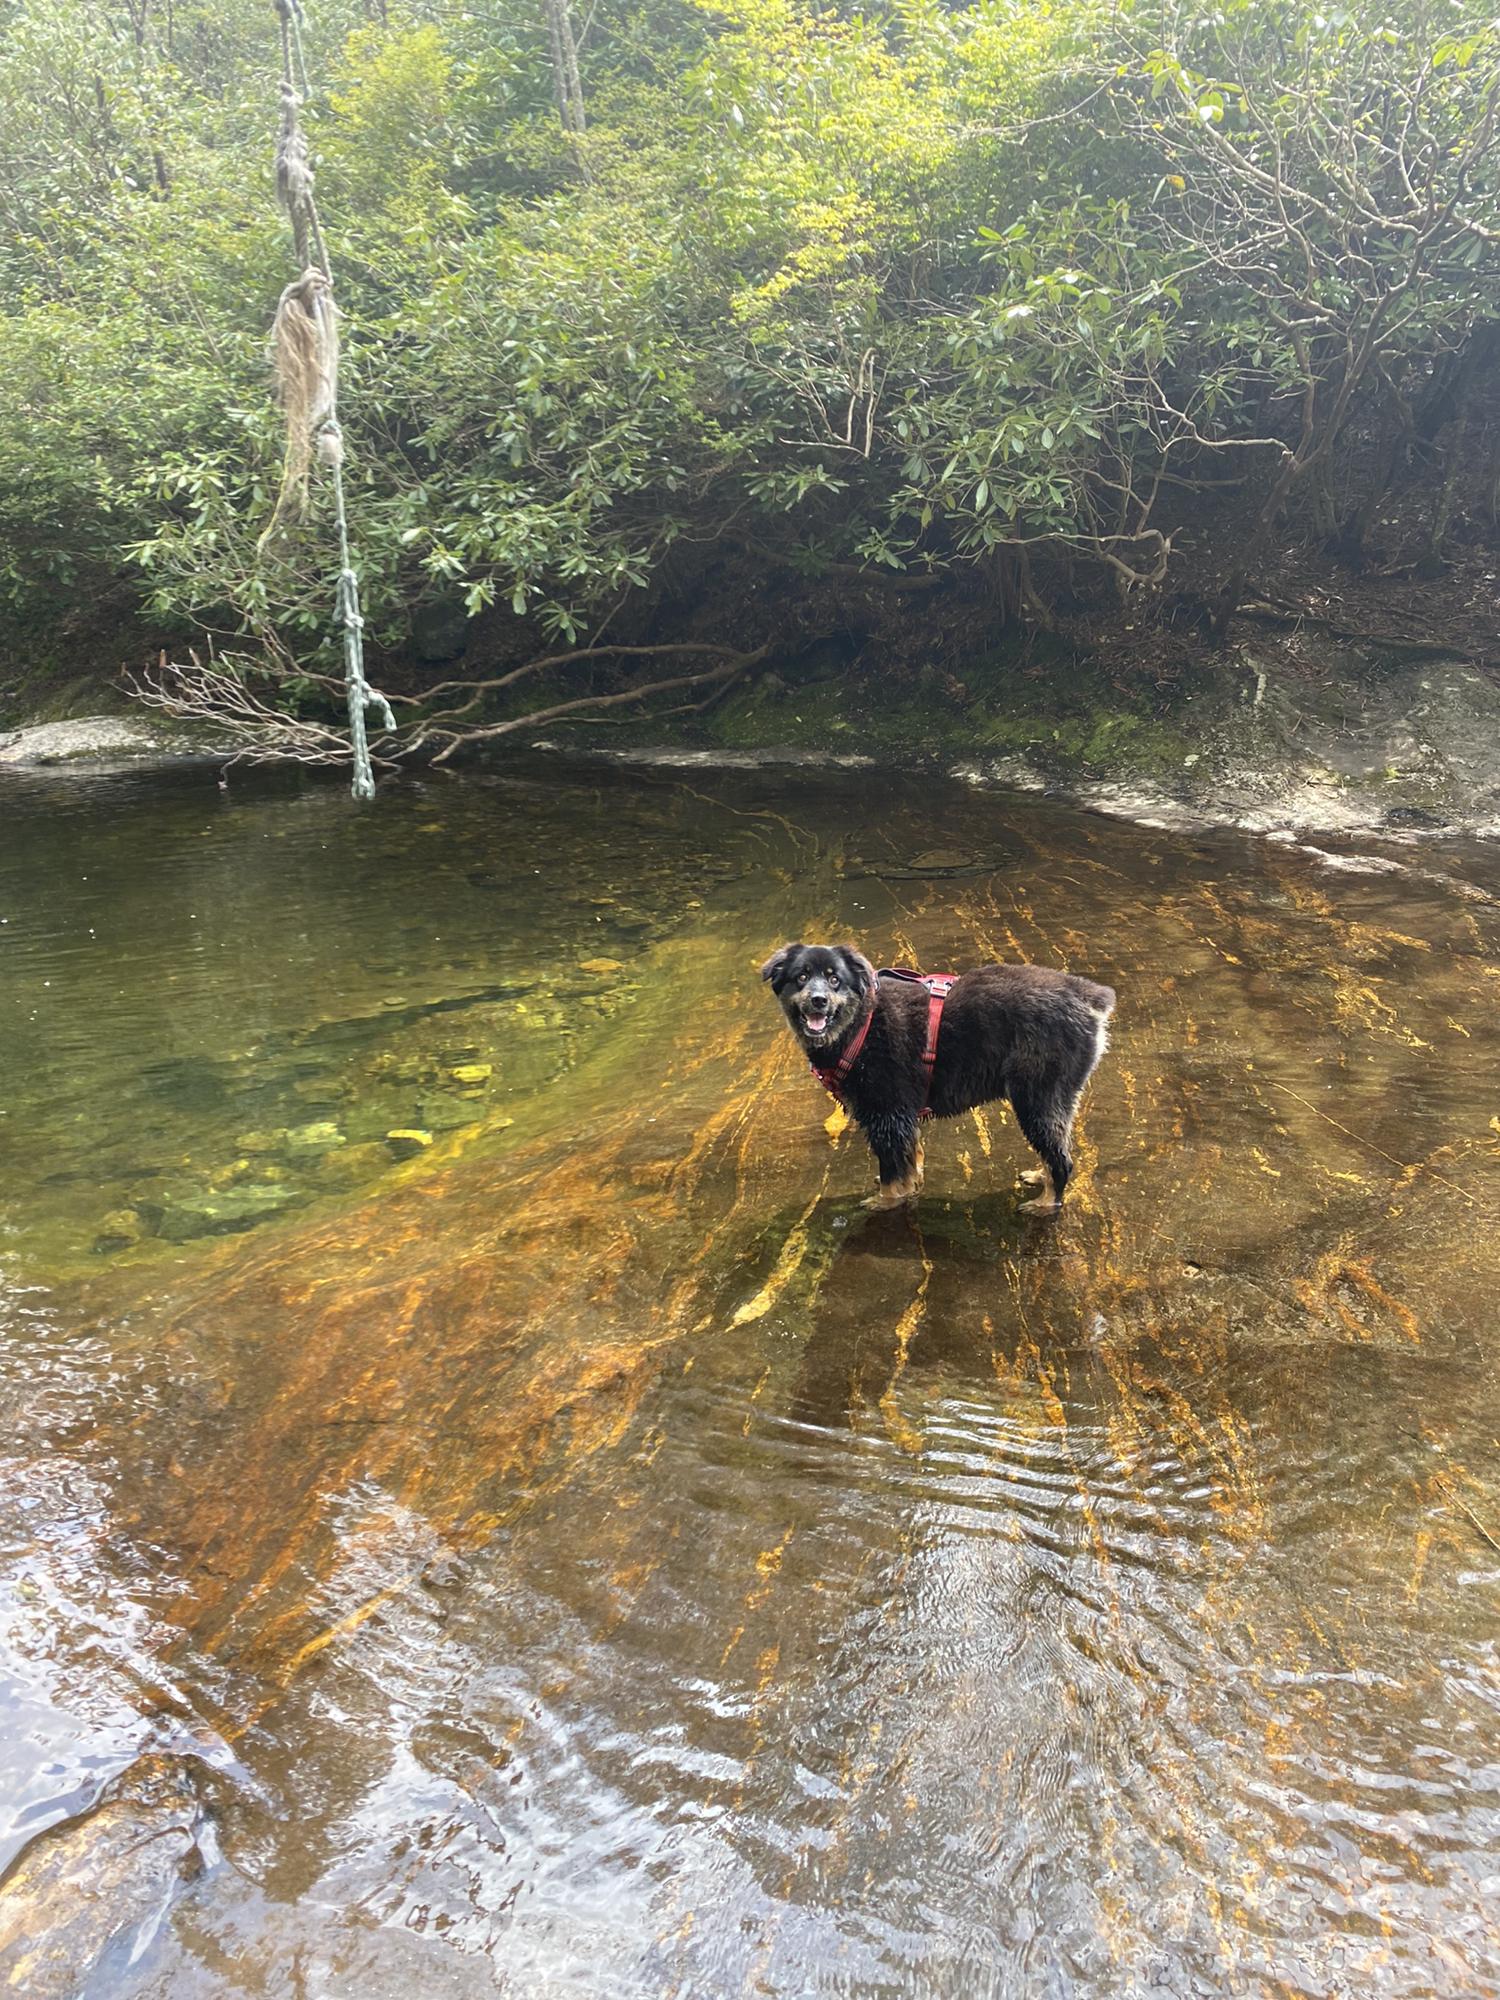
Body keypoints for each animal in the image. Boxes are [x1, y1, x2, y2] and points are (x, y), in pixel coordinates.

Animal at [764, 944, 1120, 1208]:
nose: (818, 1000)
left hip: (1038, 1098)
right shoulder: (902, 1118)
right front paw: (910, 1185)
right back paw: (1040, 1176)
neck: (859, 1024)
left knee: (1061, 1160)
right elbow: (910, 1159)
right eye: (801, 977)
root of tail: (1088, 996)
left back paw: (1046, 1202)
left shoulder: (886, 1115)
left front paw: (885, 1201)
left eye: (834, 979)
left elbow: (891, 1171)